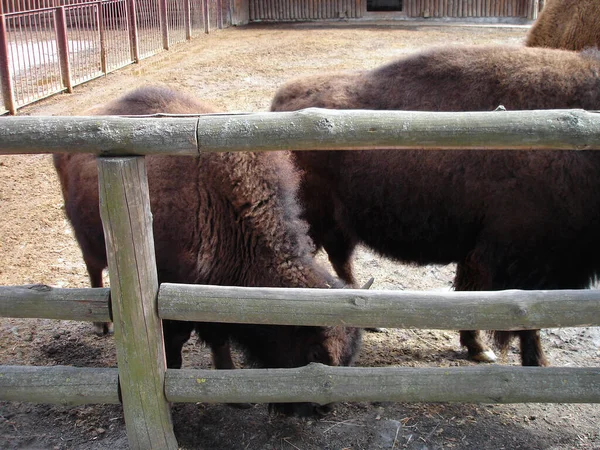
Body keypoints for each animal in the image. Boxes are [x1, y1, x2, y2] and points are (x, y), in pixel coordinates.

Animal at [54, 84, 360, 414]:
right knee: (93, 270)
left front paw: (234, 395)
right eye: (314, 351)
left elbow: (218, 336)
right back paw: (101, 325)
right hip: (87, 239)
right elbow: (178, 338)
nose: (321, 409)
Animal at [270, 45, 600, 368]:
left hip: (340, 224)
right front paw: (533, 361)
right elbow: (527, 318)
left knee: (341, 261)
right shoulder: (528, 259)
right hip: (316, 221)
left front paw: (479, 348)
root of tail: (283, 102)